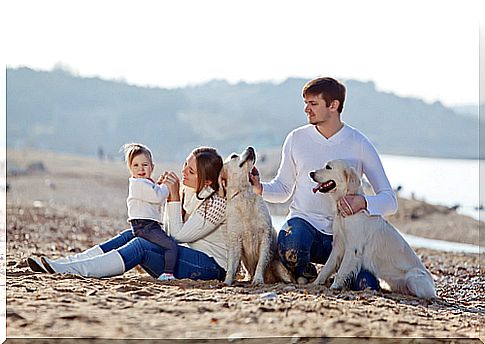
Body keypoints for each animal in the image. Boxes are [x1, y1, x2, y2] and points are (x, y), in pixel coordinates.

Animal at [218, 147, 294, 284]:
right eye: (234, 156)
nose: (250, 148)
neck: (244, 193)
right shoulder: (235, 239)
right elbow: (231, 266)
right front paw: (227, 282)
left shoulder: (265, 235)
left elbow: (261, 262)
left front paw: (258, 279)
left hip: (278, 265)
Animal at [310, 159, 434, 298]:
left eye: (328, 167)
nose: (311, 173)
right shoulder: (338, 245)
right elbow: (327, 266)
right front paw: (316, 282)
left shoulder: (353, 248)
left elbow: (342, 270)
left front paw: (335, 286)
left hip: (413, 278)